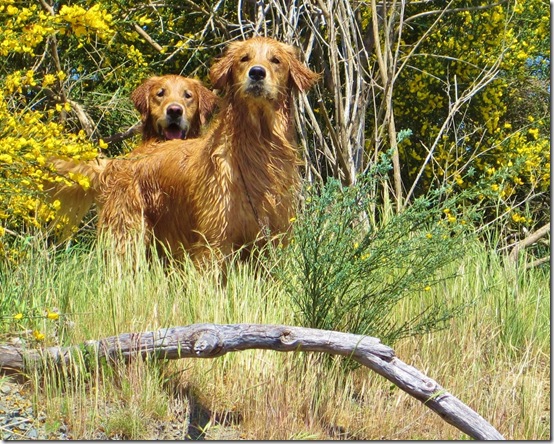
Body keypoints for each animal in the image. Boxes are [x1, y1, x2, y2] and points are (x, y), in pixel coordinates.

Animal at [99, 37, 320, 264]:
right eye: (244, 58)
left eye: (275, 60)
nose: (257, 72)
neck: (259, 144)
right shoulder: (215, 239)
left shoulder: (273, 236)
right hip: (126, 232)